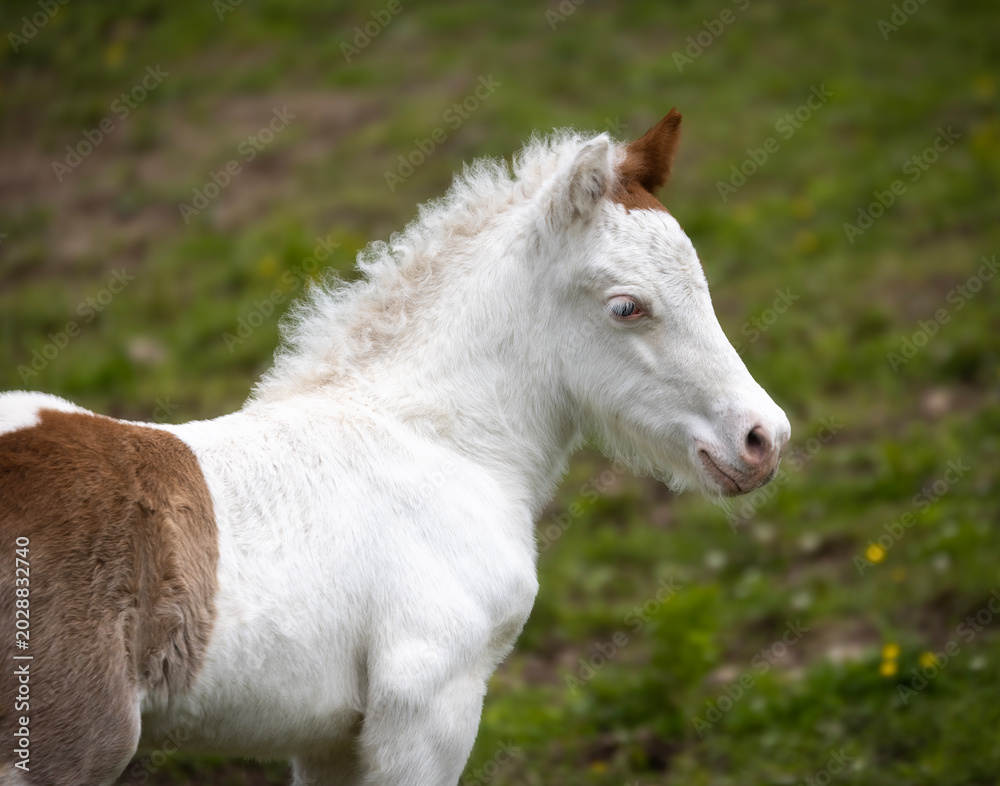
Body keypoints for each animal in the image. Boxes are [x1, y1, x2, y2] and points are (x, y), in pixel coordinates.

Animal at [0, 110, 790, 785]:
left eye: (702, 282)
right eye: (627, 306)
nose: (764, 438)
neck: (439, 442)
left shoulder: (328, 738)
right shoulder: (429, 706)